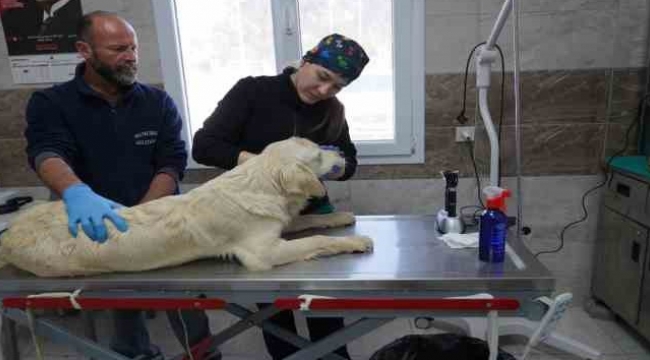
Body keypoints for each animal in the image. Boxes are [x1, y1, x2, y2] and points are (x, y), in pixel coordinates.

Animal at [0, 136, 372, 278]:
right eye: (319, 154)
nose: (341, 152)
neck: (260, 182)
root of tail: (11, 232)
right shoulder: (262, 253)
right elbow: (315, 240)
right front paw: (355, 241)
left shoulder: (277, 223)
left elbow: (304, 223)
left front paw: (339, 217)